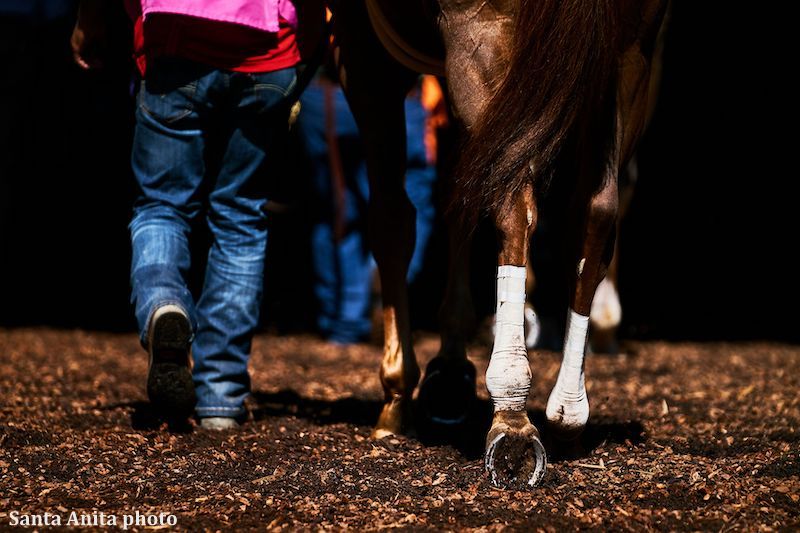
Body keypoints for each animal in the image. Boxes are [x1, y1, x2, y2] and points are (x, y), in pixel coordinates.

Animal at [328, 0, 672, 484]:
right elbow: (458, 192)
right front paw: (449, 372)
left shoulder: (362, 51)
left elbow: (394, 220)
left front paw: (399, 393)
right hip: (630, 56)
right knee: (597, 211)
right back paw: (568, 411)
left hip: (483, 34)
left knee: (512, 197)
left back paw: (511, 414)